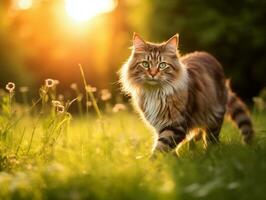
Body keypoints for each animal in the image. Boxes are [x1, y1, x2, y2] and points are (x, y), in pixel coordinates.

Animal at [120, 33, 254, 154]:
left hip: (215, 116)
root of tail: (209, 56)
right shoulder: (161, 125)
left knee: (211, 139)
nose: (152, 74)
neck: (156, 93)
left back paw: (208, 152)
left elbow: (161, 148)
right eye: (145, 64)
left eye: (162, 65)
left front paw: (154, 163)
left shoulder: (175, 125)